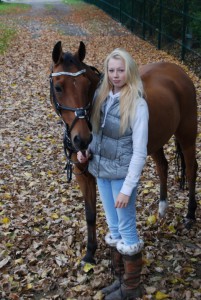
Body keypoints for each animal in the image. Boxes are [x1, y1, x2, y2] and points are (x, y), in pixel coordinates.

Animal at [49, 41, 197, 262]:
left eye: (86, 86)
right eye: (58, 87)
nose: (82, 139)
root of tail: (179, 71)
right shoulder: (82, 174)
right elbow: (90, 214)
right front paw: (90, 253)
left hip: (187, 135)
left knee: (191, 169)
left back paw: (190, 214)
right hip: (154, 142)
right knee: (163, 166)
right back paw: (162, 208)